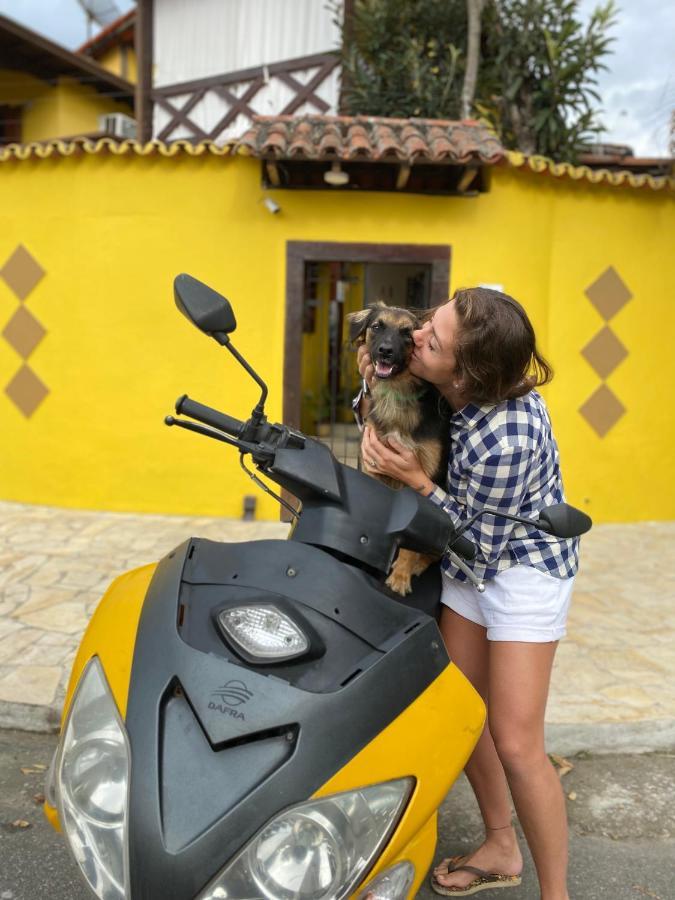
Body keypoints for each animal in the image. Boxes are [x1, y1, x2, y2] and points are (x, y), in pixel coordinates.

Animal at [348, 306, 448, 596]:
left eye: (407, 333)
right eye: (377, 326)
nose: (385, 351)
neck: (396, 394)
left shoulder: (426, 479)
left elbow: (415, 541)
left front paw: (401, 575)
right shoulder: (372, 468)